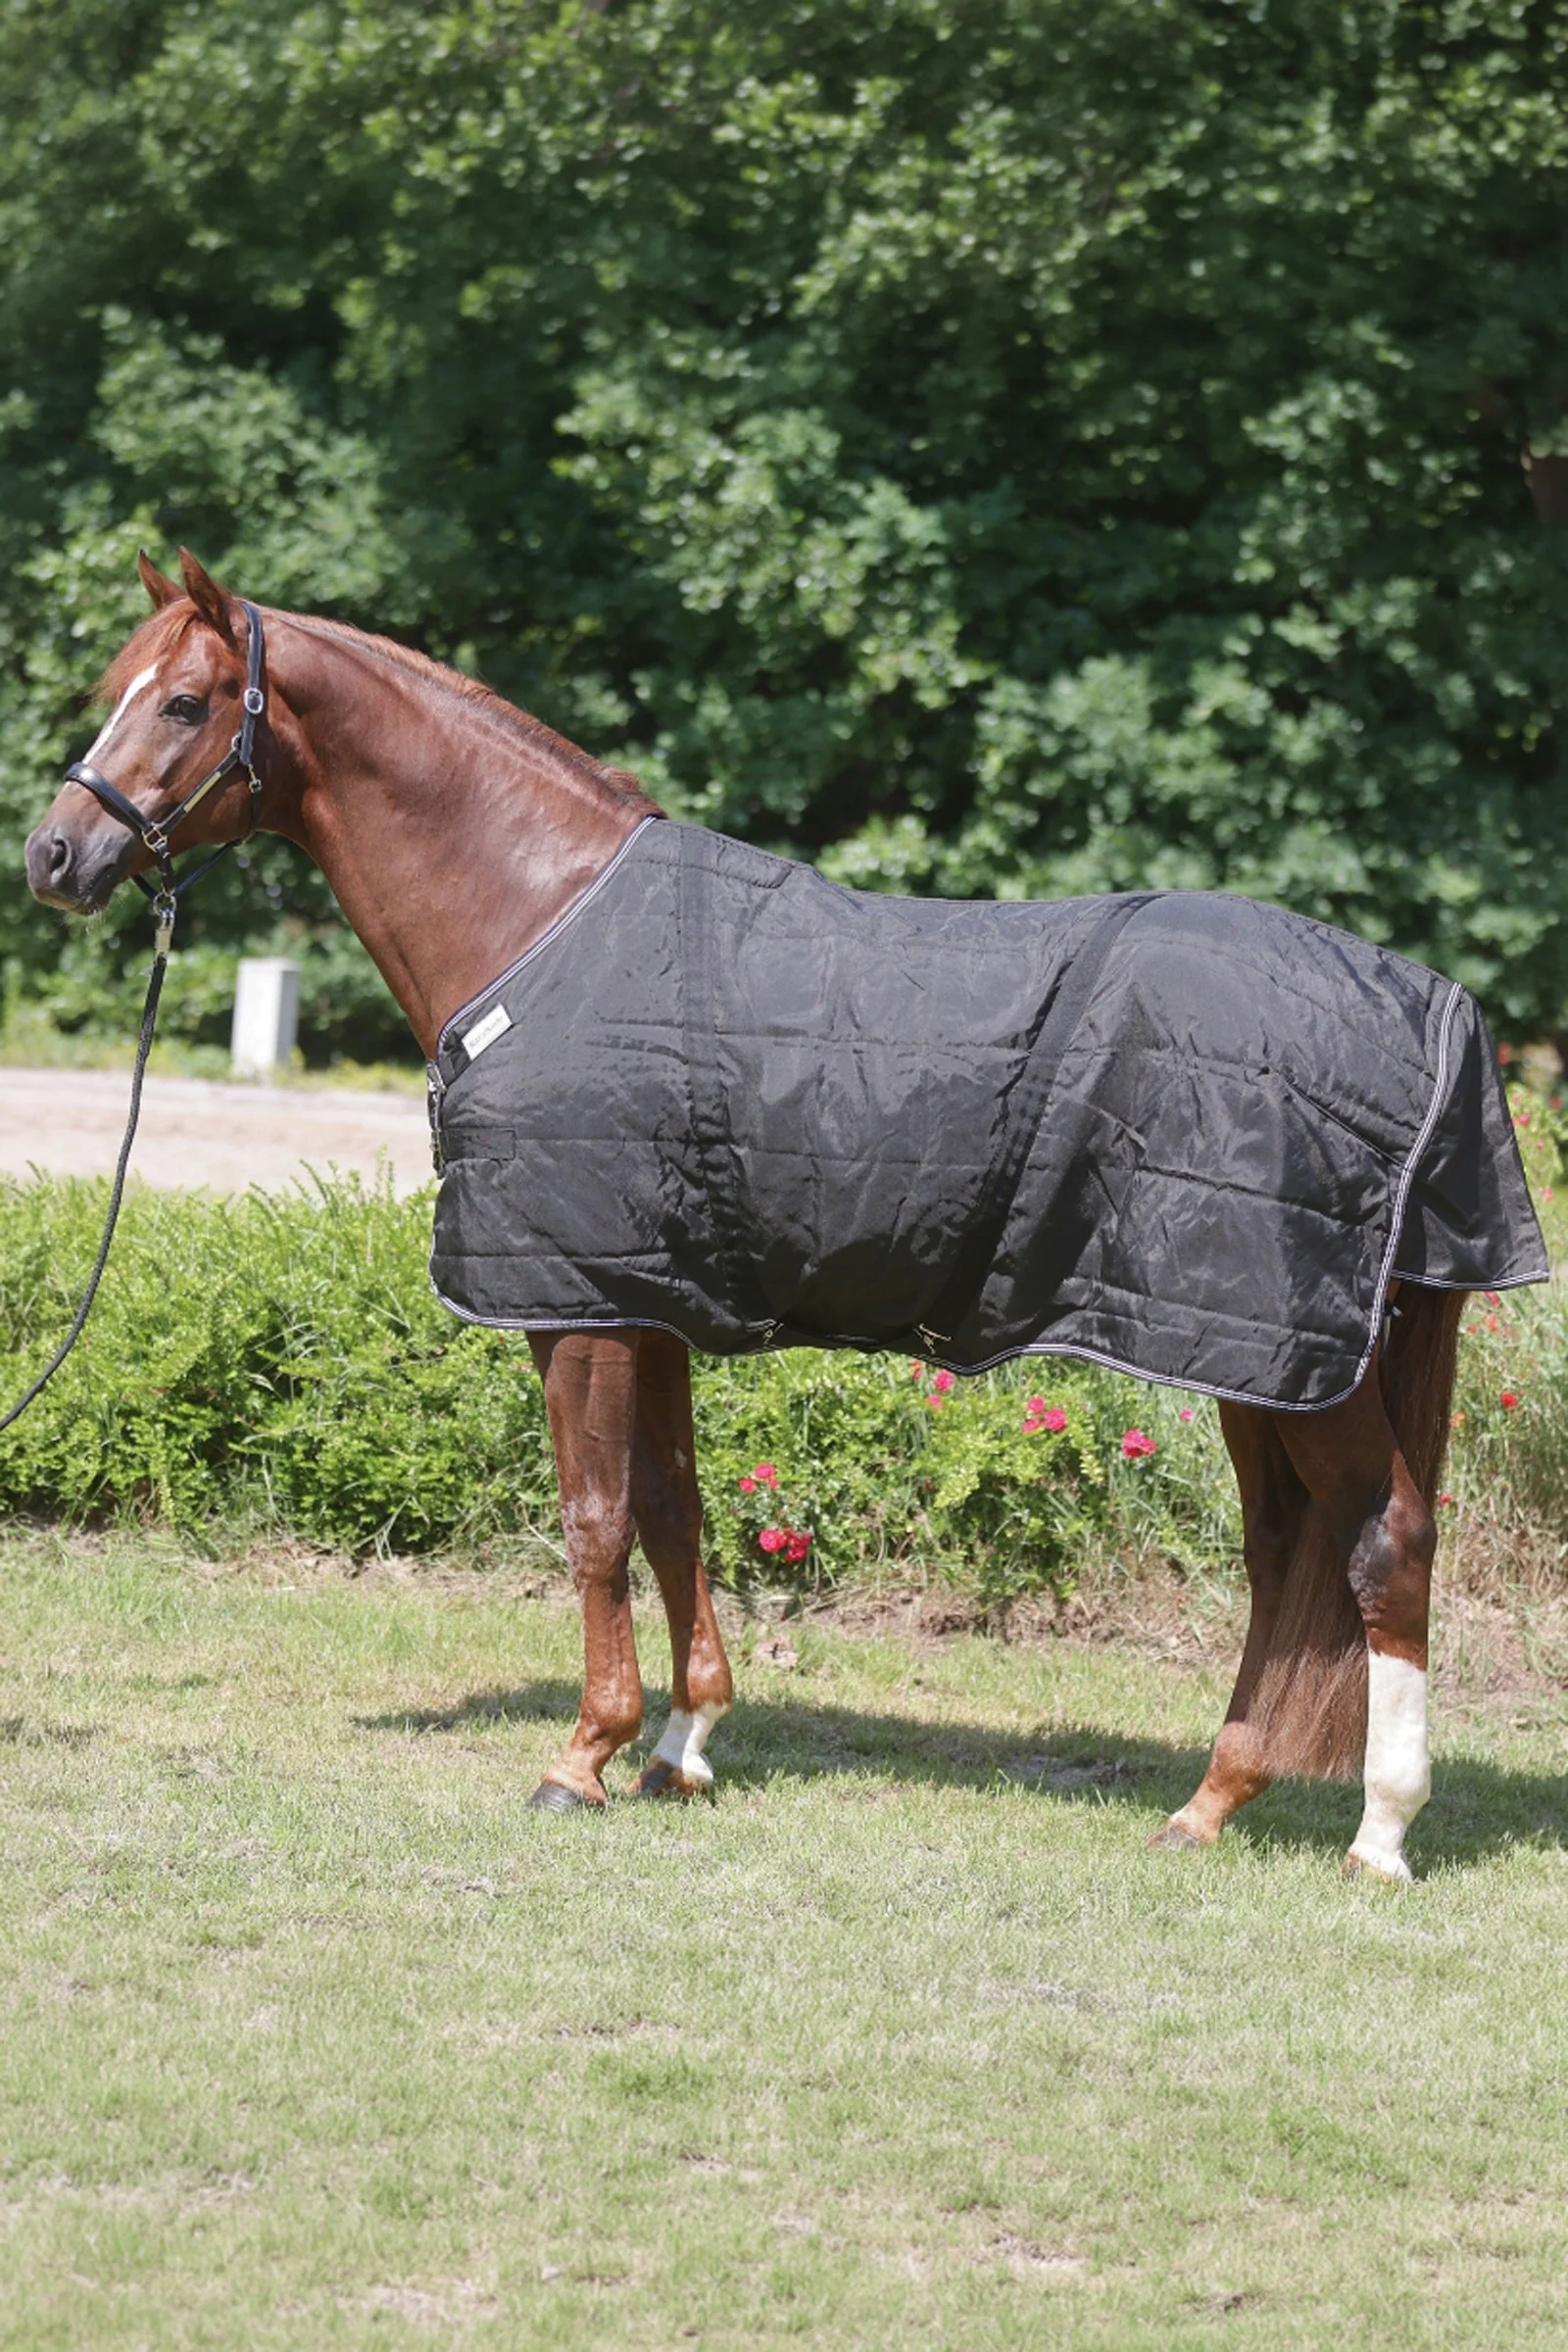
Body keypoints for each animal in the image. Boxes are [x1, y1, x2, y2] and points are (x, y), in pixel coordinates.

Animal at [24, 549, 1547, 1882]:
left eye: (183, 701)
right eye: (115, 682)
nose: (54, 853)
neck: (539, 923)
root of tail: (1429, 1007)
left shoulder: (576, 1305)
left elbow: (591, 1518)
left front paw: (582, 1756)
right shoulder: (650, 1298)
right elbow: (673, 1507)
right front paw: (684, 1742)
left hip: (1280, 1353)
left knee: (1383, 1541)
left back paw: (1380, 1834)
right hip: (1254, 1358)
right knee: (1288, 1553)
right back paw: (1212, 1802)